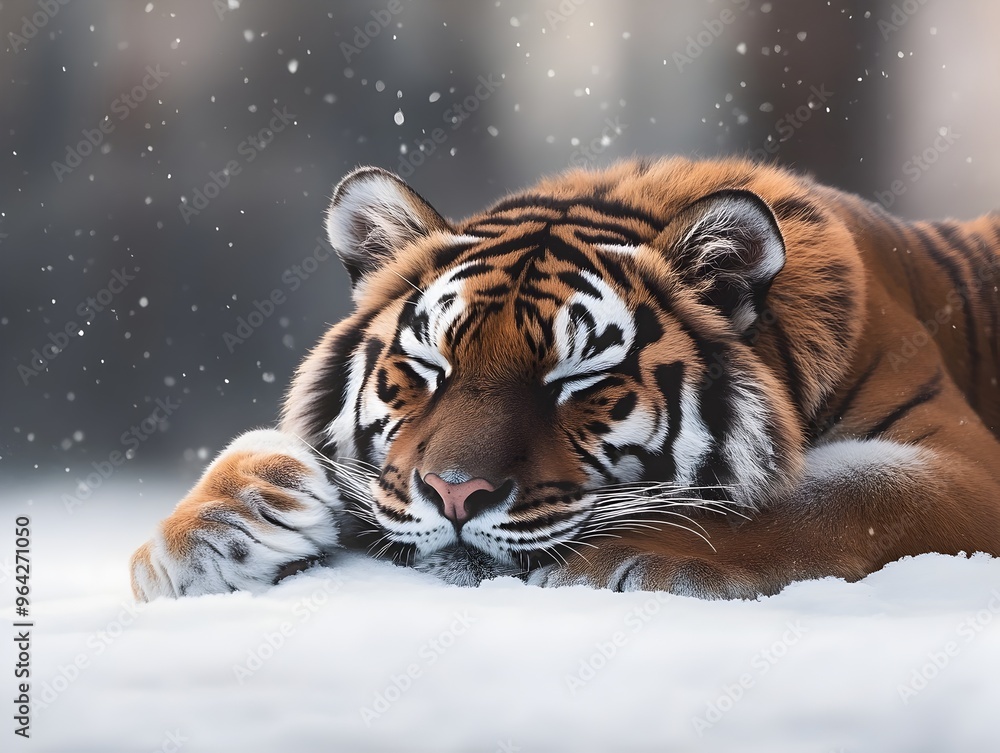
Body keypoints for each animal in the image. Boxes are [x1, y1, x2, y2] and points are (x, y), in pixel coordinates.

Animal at [129, 157, 1000, 601]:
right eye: (429, 368)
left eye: (577, 380)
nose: (453, 494)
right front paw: (218, 524)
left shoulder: (961, 465)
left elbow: (833, 496)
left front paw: (615, 556)